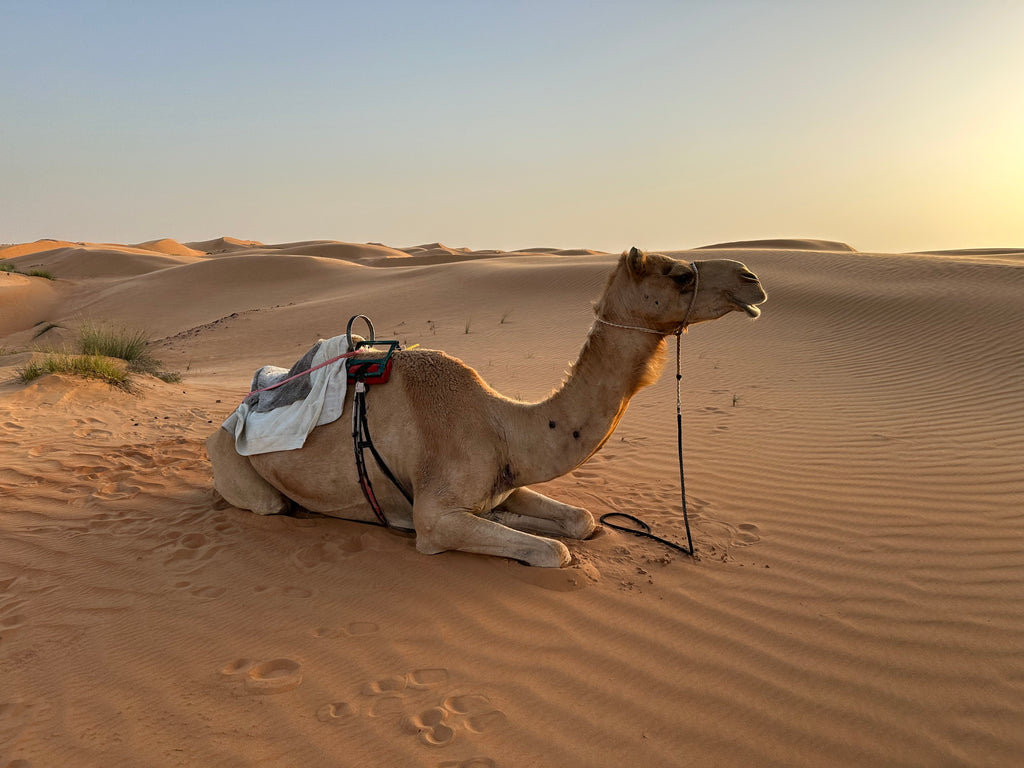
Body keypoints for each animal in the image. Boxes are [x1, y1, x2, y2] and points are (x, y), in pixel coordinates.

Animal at [206, 248, 766, 567]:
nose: (750, 277)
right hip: (240, 472)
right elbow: (555, 551)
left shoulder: (506, 481)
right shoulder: (436, 517)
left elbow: (581, 520)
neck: (504, 425)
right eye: (679, 274)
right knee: (274, 504)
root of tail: (226, 420)